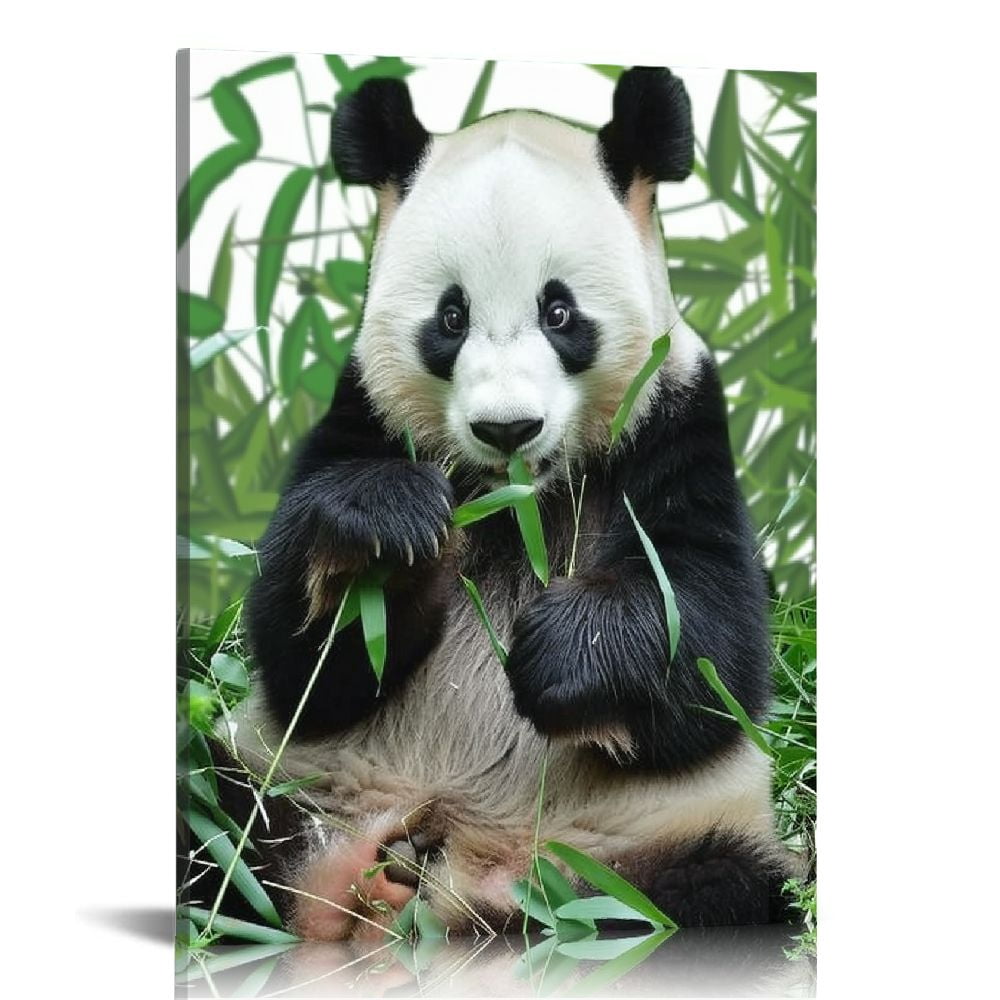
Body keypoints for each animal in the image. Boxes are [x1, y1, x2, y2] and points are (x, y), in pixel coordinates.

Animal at [230, 65, 799, 942]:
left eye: (559, 312)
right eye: (450, 316)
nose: (507, 429)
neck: (515, 503)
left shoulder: (679, 423)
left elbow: (711, 640)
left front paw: (564, 653)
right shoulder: (362, 412)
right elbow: (303, 664)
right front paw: (386, 532)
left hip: (650, 851)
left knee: (718, 896)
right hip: (281, 791)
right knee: (216, 829)